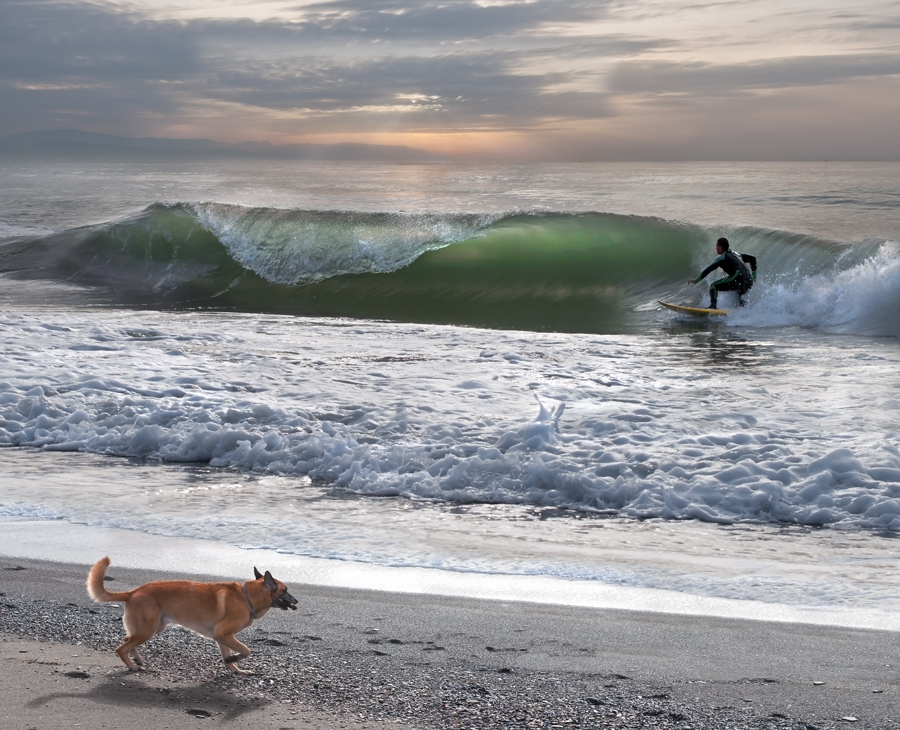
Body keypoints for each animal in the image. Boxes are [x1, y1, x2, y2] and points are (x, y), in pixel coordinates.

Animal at [85, 556, 298, 672]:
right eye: (286, 590)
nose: (297, 601)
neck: (247, 597)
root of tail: (134, 591)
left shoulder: (223, 638)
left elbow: (229, 654)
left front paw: (235, 668)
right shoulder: (223, 634)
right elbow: (246, 650)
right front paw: (234, 661)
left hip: (154, 627)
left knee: (127, 639)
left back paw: (137, 659)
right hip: (148, 629)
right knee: (121, 648)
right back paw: (132, 666)